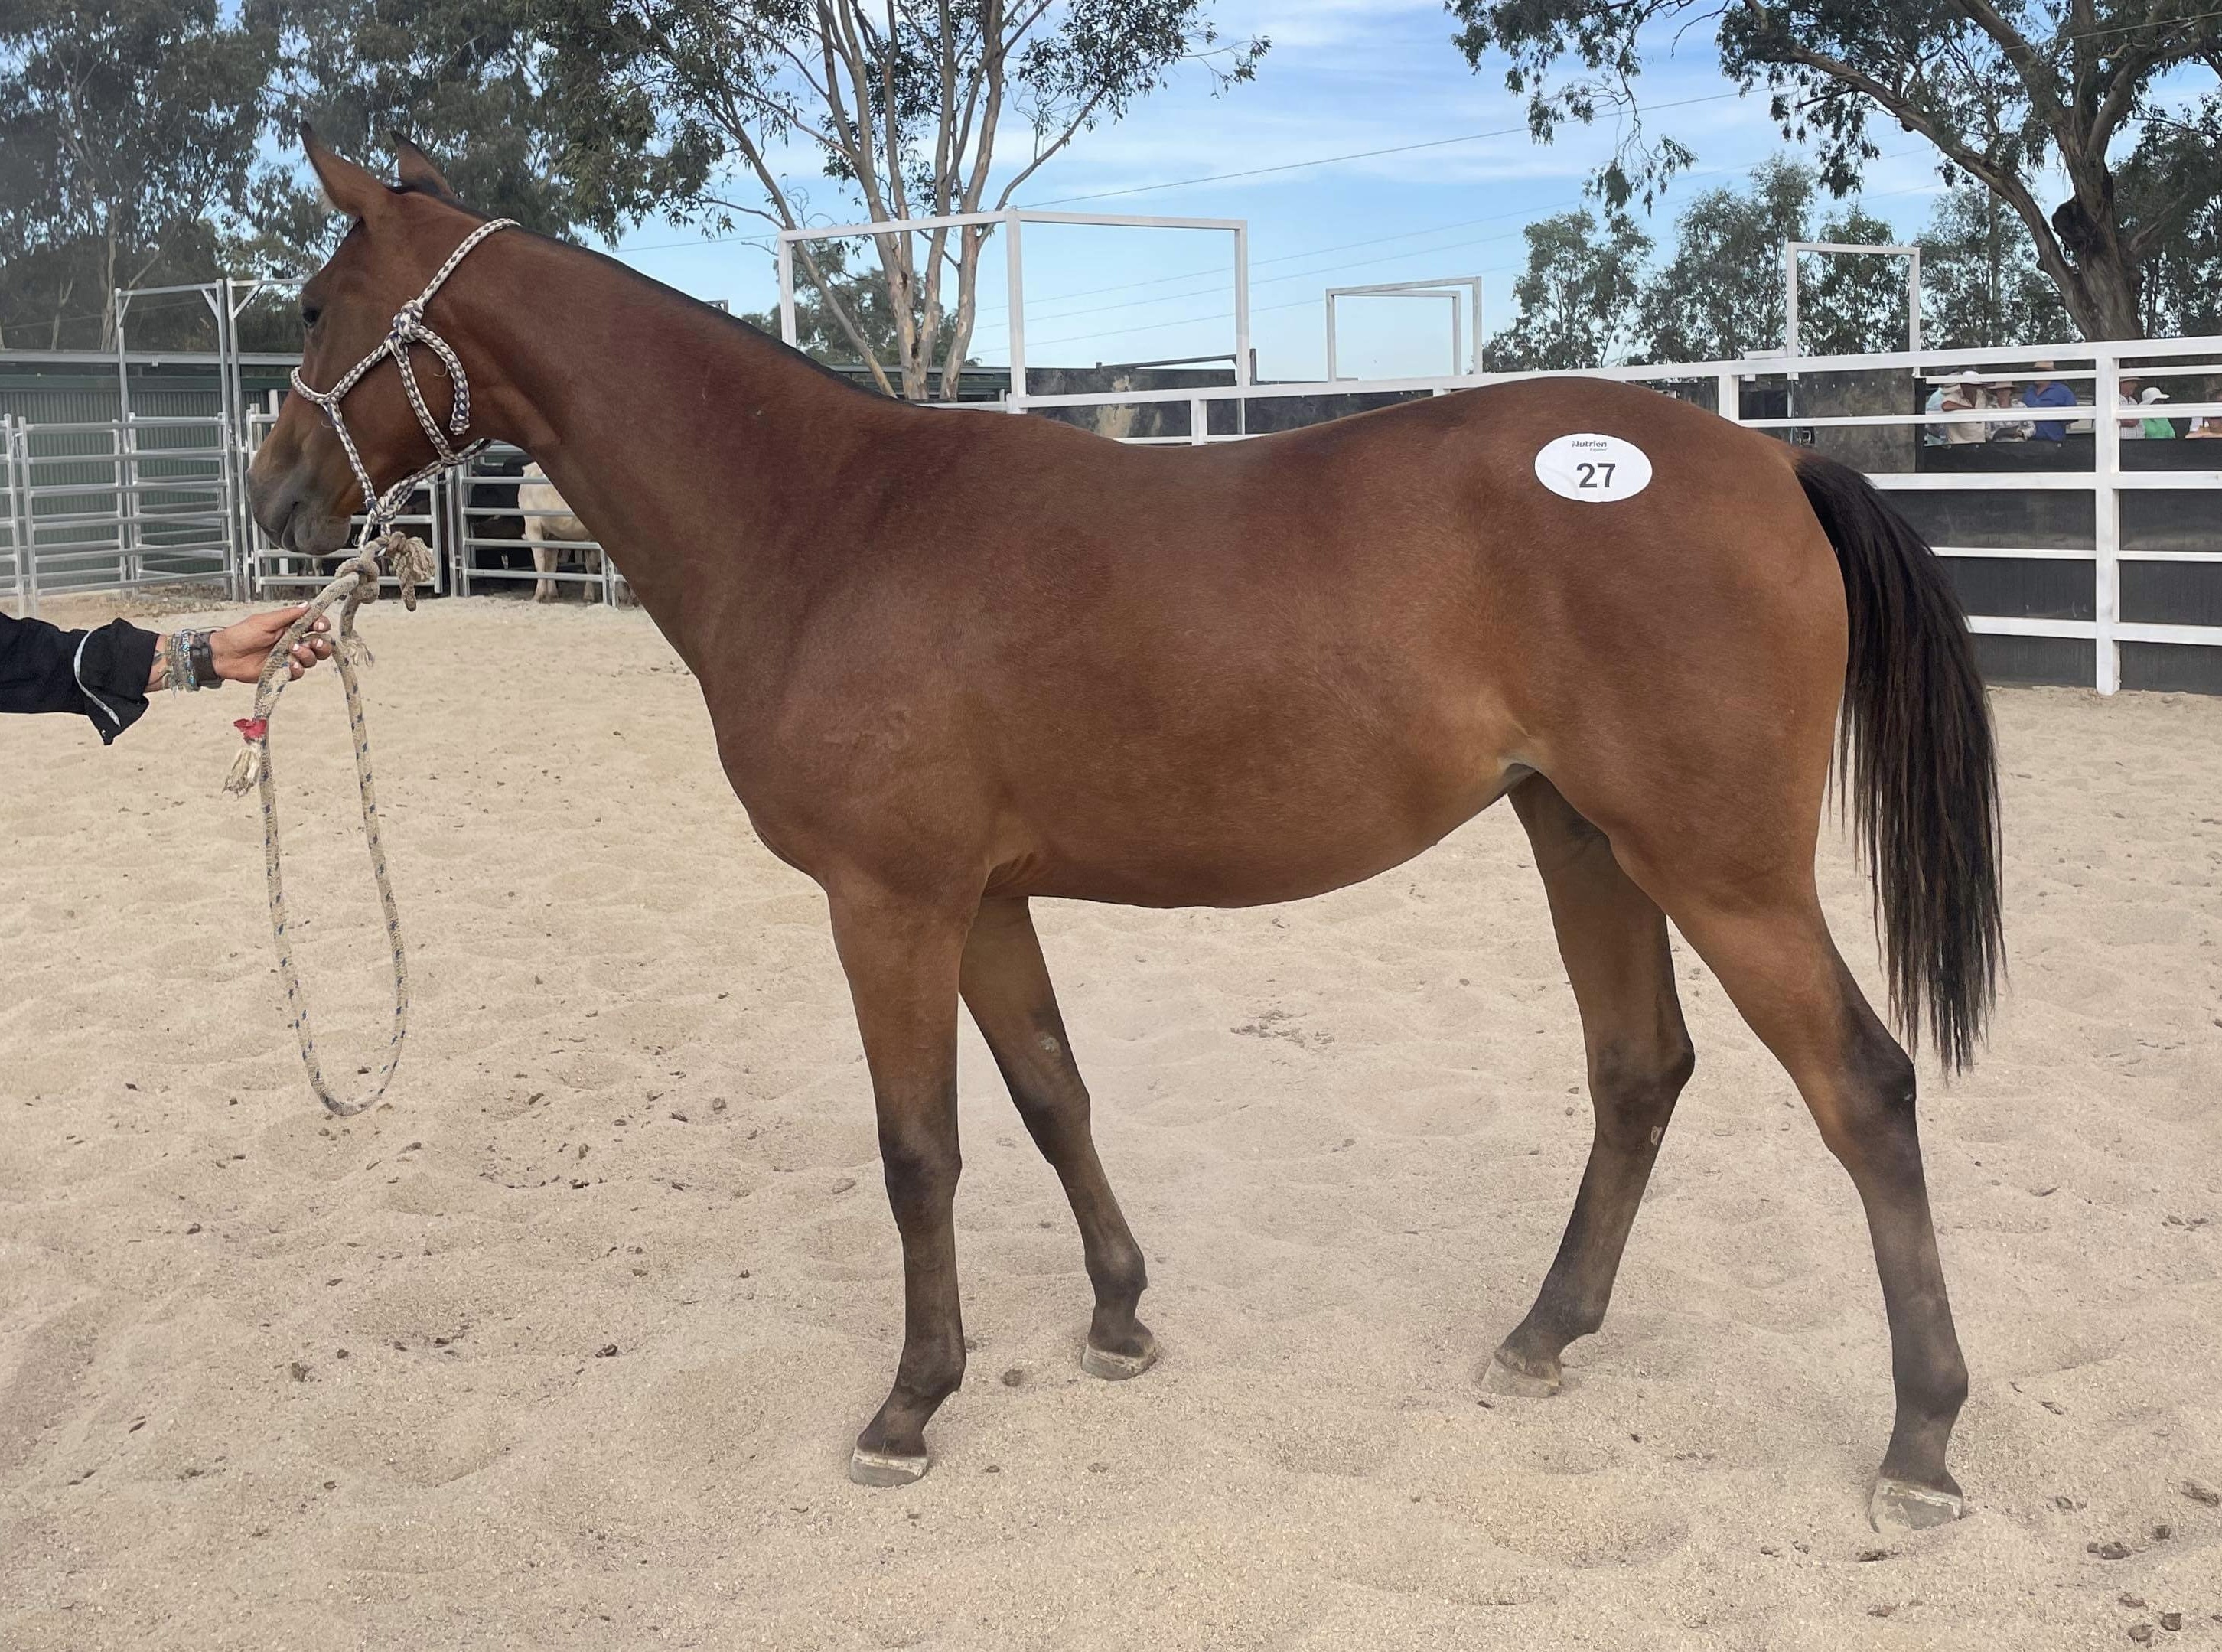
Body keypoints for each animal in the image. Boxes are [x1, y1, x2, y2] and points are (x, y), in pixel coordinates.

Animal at [247, 131, 2002, 1533]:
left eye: (318, 309)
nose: (271, 496)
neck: (824, 519)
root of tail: (1769, 455)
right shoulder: (982, 898)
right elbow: (1050, 1094)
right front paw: (1116, 1316)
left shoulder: (887, 901)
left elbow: (921, 1148)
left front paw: (910, 1403)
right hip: (1582, 838)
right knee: (1639, 1070)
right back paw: (1540, 1335)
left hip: (1719, 868)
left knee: (1863, 1090)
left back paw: (1919, 1441)